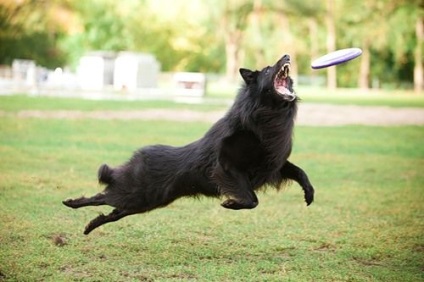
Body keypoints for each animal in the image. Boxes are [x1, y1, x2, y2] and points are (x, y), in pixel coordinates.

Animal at [63, 54, 314, 235]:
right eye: (269, 69)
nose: (287, 55)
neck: (265, 116)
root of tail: (137, 158)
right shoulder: (227, 167)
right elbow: (252, 200)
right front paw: (231, 204)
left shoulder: (273, 162)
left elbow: (300, 172)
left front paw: (309, 194)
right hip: (138, 195)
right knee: (101, 197)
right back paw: (71, 203)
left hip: (145, 202)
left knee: (113, 211)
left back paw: (89, 226)